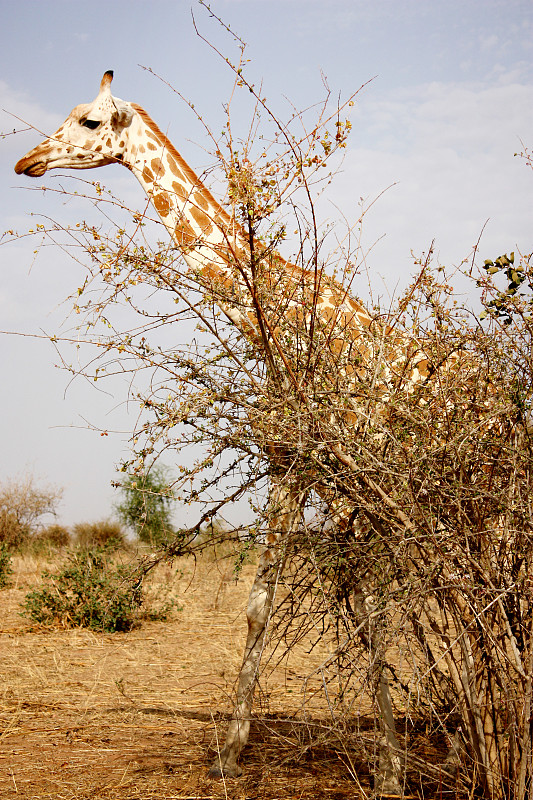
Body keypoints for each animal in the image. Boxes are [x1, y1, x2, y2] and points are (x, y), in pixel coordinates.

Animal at [16, 73, 408, 792]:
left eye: (89, 122)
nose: (26, 161)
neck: (280, 321)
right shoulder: (291, 463)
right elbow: (260, 602)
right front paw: (230, 749)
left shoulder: (342, 479)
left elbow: (368, 611)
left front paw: (392, 772)